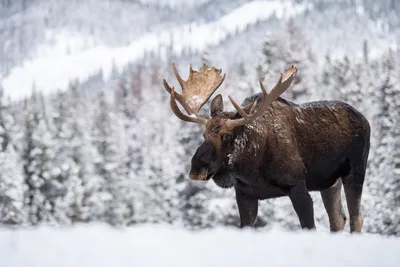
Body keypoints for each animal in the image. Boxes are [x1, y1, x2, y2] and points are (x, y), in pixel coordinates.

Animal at [161, 63, 370, 233]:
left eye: (227, 136)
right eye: (204, 135)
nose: (196, 168)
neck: (252, 168)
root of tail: (365, 119)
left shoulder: (297, 186)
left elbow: (309, 226)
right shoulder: (245, 195)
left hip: (355, 171)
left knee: (356, 218)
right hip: (329, 183)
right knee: (338, 219)